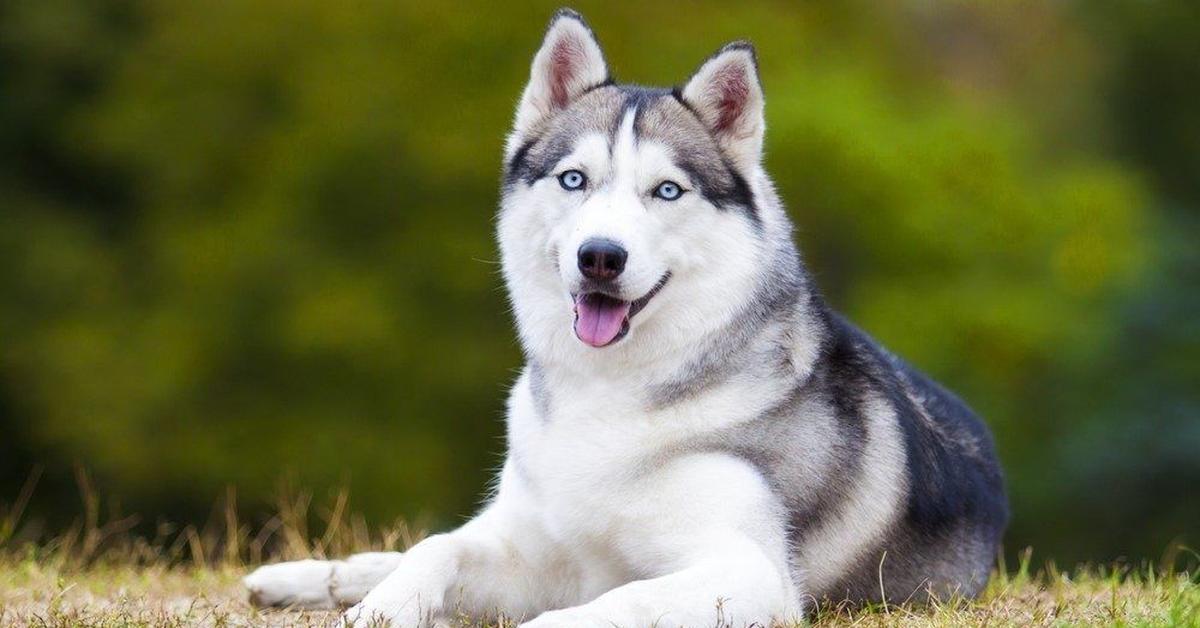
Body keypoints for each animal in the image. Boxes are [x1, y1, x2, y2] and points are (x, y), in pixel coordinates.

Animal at [246, 9, 1012, 628]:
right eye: (574, 180)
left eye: (666, 190)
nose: (600, 258)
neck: (608, 396)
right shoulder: (542, 551)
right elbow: (437, 549)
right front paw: (377, 607)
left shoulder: (748, 571)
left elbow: (612, 602)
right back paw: (303, 577)